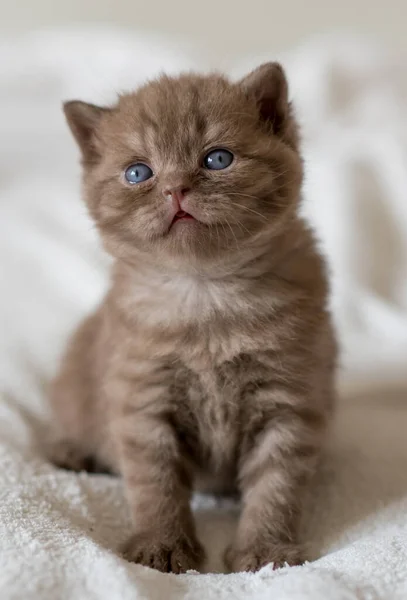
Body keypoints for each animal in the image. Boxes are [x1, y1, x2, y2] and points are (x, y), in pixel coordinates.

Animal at [49, 63, 338, 576]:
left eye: (217, 159)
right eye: (138, 172)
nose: (175, 188)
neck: (206, 296)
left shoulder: (289, 403)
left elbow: (277, 487)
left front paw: (265, 551)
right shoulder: (144, 403)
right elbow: (156, 485)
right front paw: (161, 548)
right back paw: (71, 451)